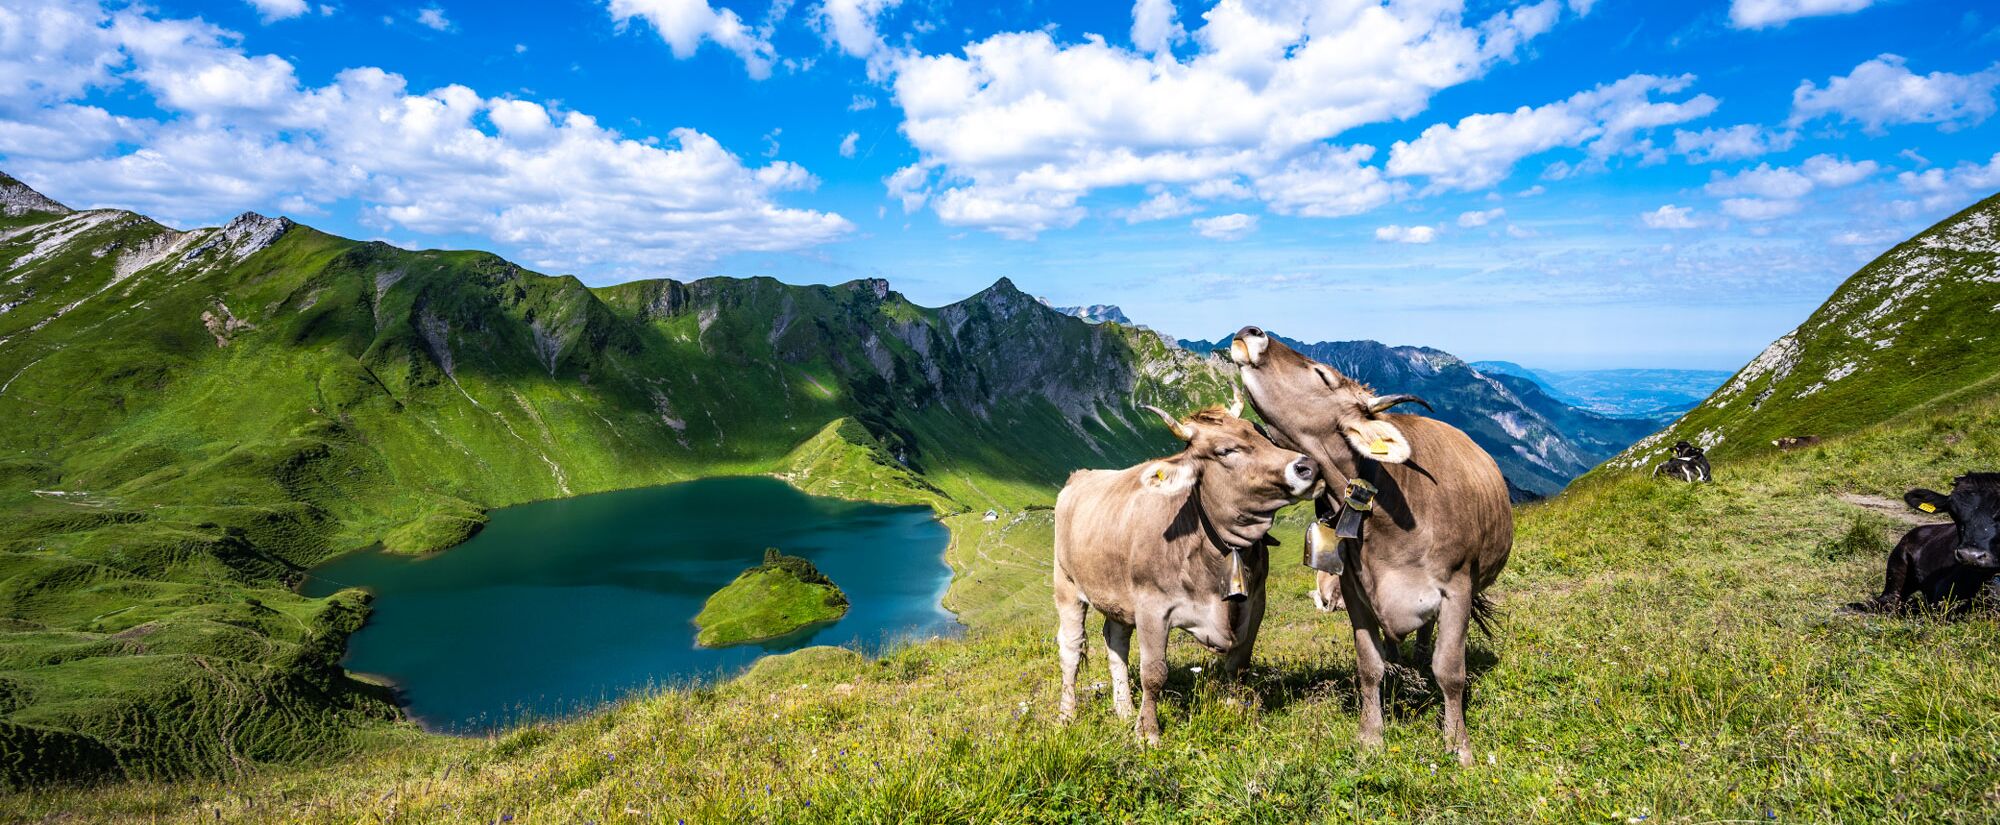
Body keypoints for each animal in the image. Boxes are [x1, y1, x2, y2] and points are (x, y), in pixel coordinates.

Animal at [1053, 404, 1322, 744]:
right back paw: (1067, 715)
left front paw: (1235, 709)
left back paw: (1124, 709)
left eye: (1259, 431)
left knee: (1116, 642)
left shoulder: (1256, 602)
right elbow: (1154, 673)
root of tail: (1081, 476)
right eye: (1224, 451)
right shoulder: (1151, 607)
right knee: (1071, 650)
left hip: (1117, 594)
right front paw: (1148, 733)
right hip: (1066, 584)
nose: (1308, 467)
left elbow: (1239, 664)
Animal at [1228, 326, 1512, 766]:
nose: (1250, 332)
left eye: (1322, 375)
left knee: (1428, 640)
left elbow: (1450, 671)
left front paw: (1458, 746)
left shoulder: (1458, 589)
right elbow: (1368, 664)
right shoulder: (1354, 590)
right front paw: (1371, 736)